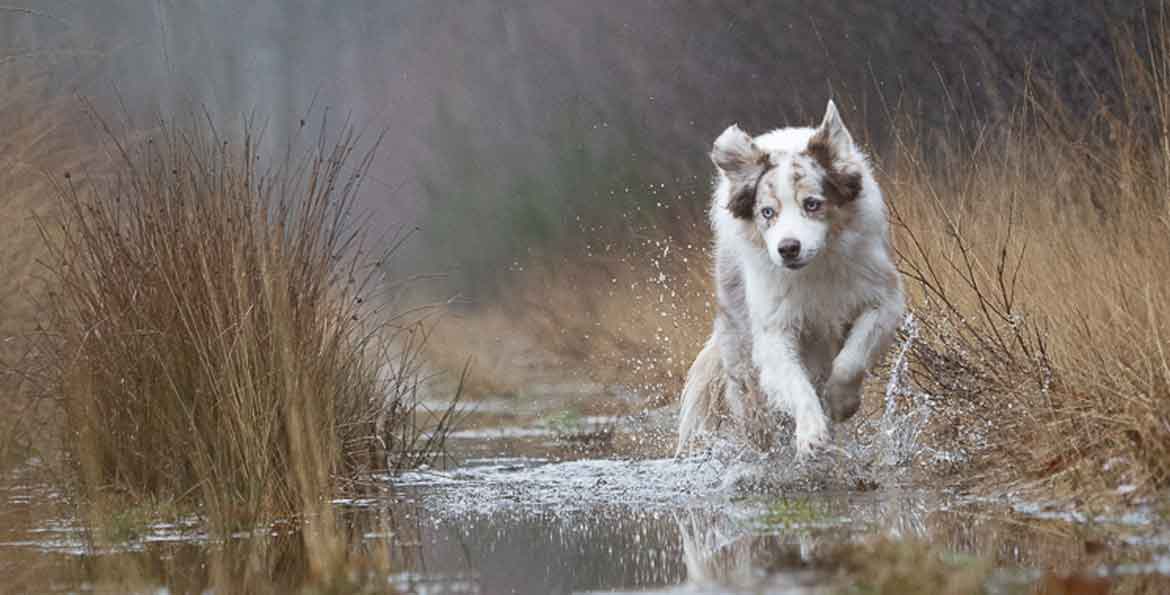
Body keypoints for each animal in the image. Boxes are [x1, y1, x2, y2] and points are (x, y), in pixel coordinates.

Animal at [678, 101, 903, 453]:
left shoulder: (882, 298)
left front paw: (840, 402)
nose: (788, 248)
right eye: (767, 212)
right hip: (740, 349)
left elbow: (850, 360)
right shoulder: (774, 327)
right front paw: (810, 432)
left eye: (812, 204)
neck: (816, 269)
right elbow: (795, 382)